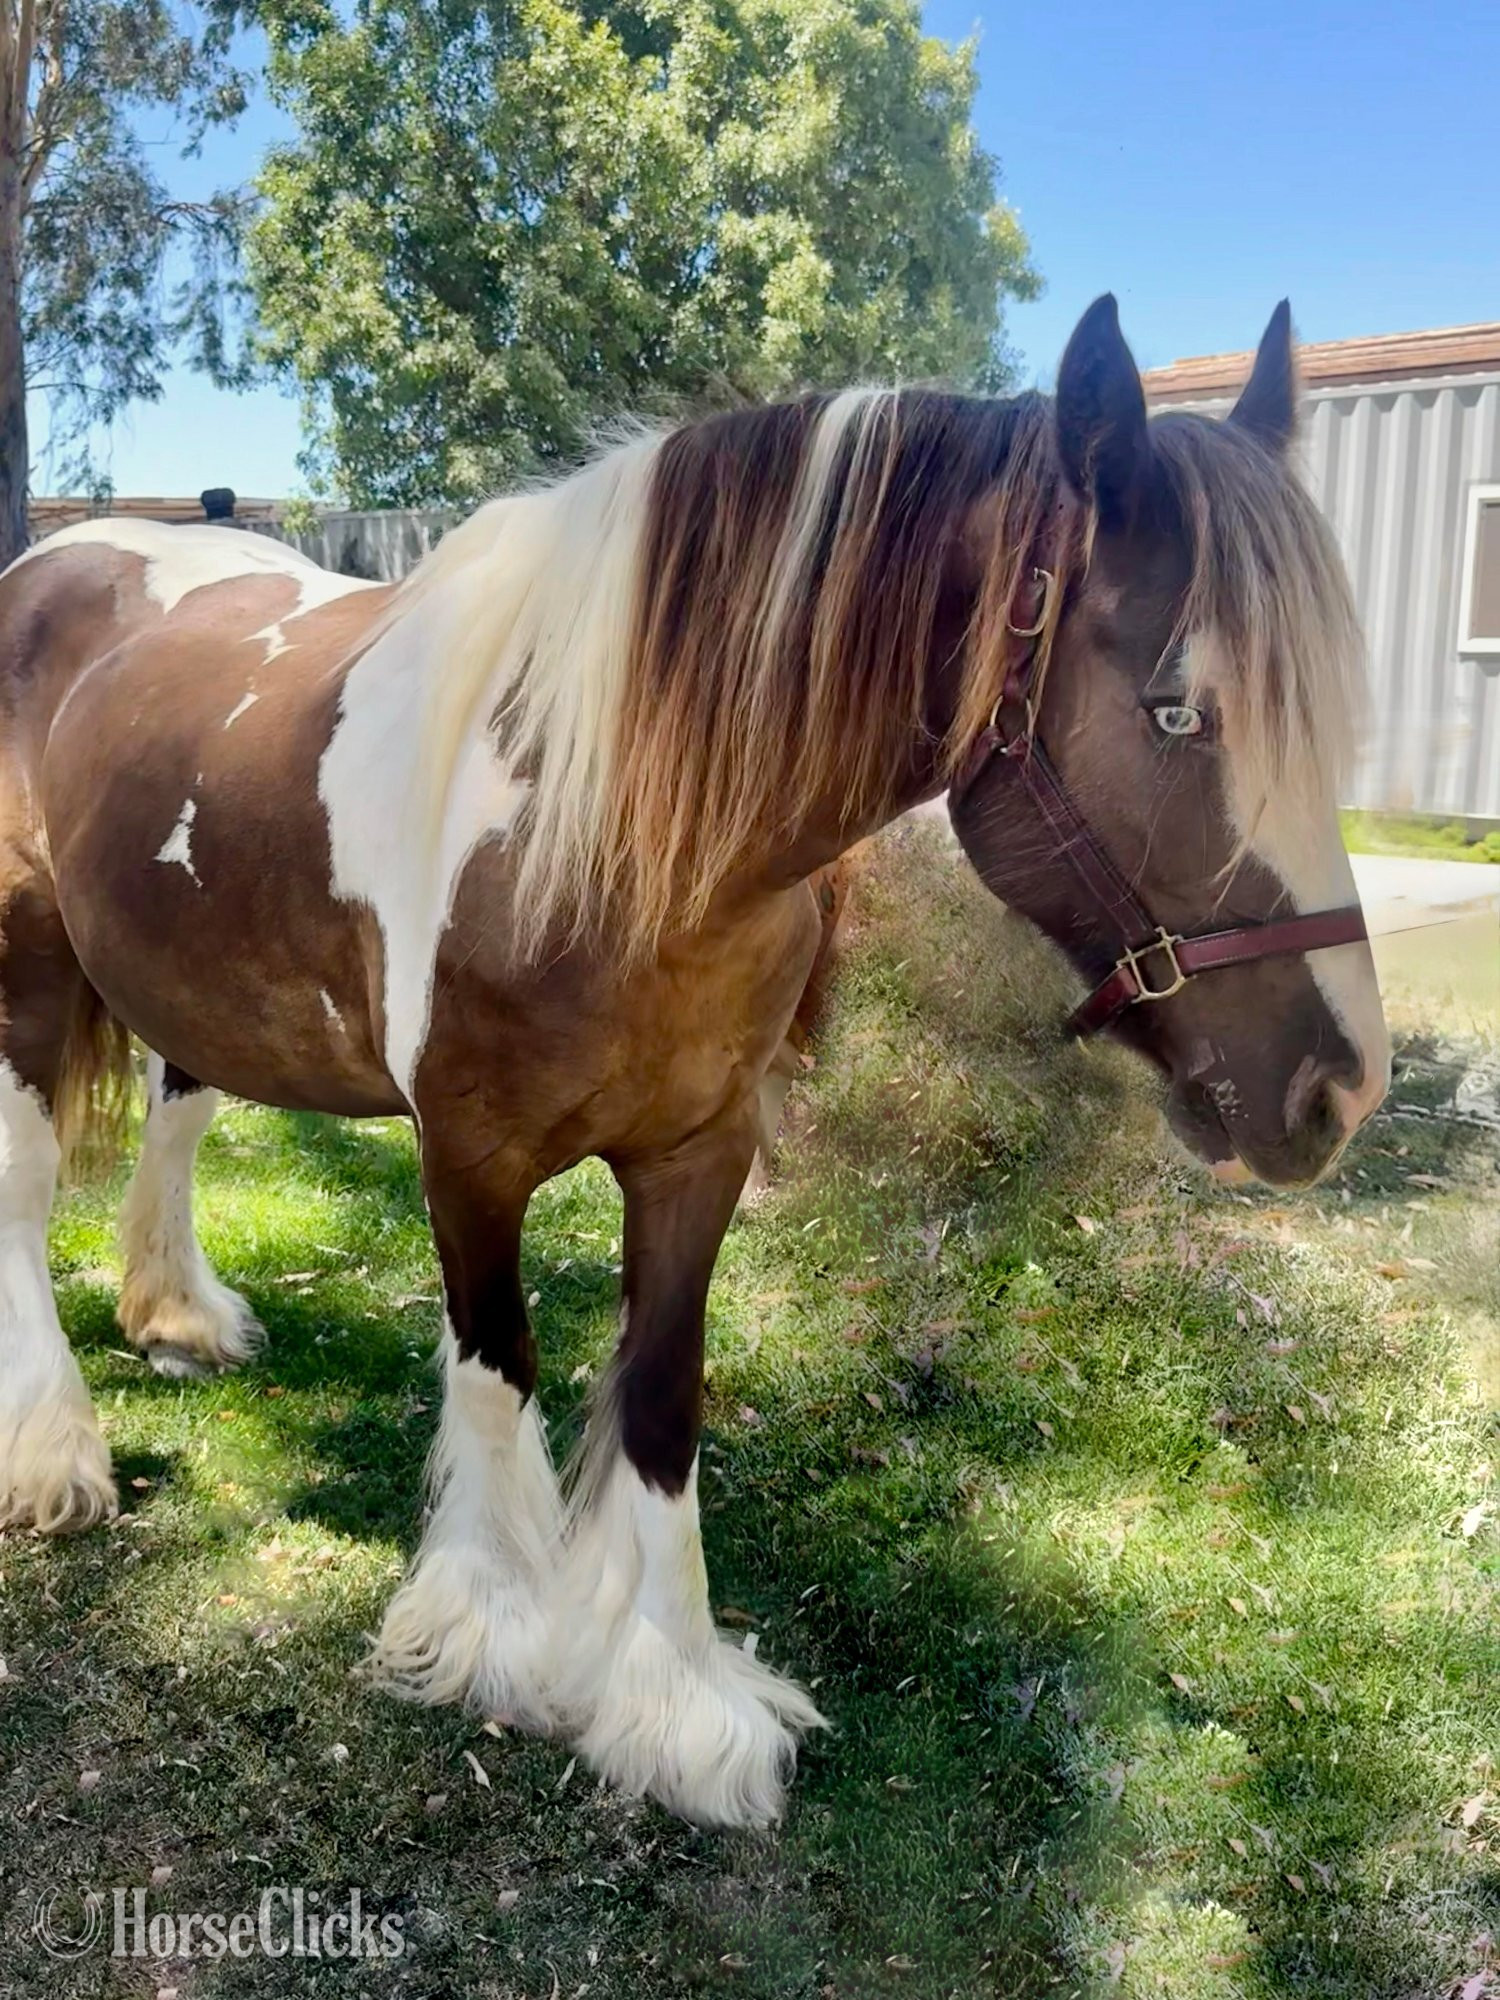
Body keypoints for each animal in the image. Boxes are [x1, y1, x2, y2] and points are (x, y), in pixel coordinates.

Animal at [0, 295, 1389, 1827]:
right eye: (1174, 711)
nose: (1341, 1088)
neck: (596, 818)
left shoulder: (698, 1149)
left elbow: (664, 1397)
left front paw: (672, 1700)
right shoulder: (469, 1154)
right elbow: (498, 1366)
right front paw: (492, 1629)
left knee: (178, 1114)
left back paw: (176, 1313)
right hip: (26, 960)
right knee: (24, 1186)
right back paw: (54, 1451)